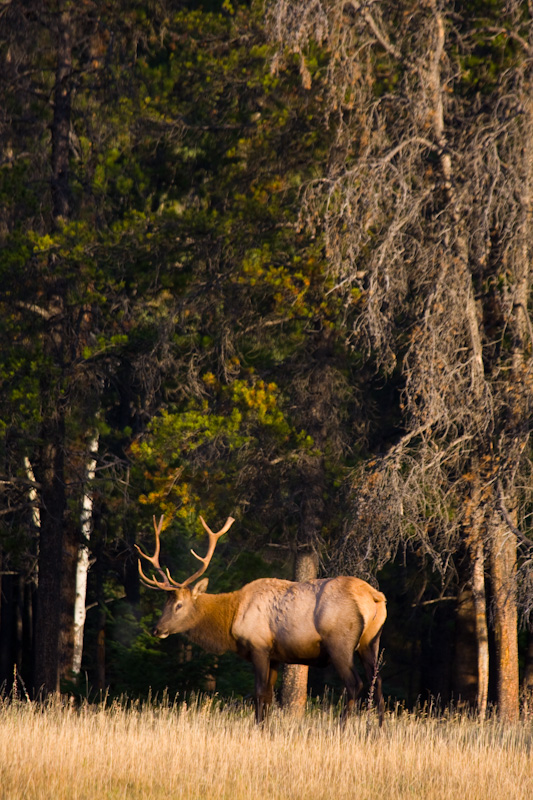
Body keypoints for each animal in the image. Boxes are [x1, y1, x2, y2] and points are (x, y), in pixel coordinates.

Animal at [136, 516, 386, 720]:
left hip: (340, 643)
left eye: (179, 605)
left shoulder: (259, 646)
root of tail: (374, 597)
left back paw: (343, 728)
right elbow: (268, 697)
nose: (157, 629)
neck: (232, 619)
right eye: (165, 603)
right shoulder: (275, 655)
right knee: (377, 684)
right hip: (370, 642)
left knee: (355, 684)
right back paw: (377, 731)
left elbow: (258, 694)